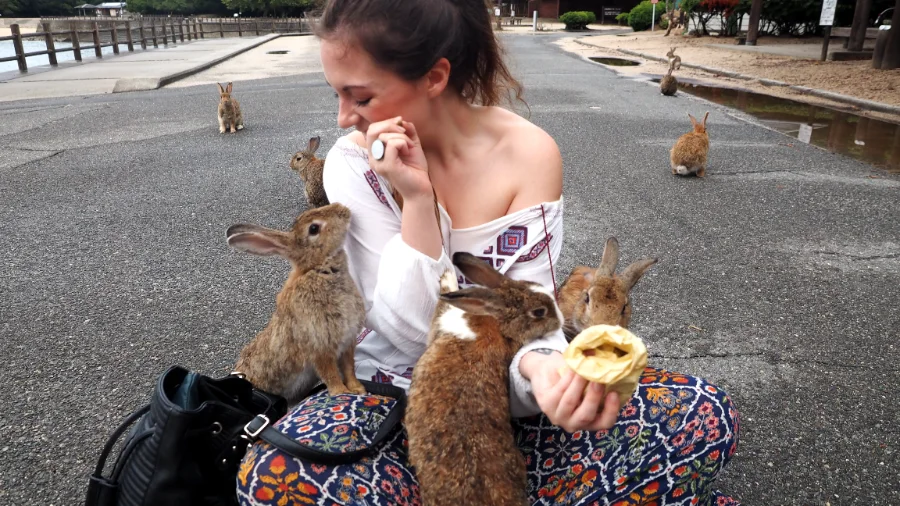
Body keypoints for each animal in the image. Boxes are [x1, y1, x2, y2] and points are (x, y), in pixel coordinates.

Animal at [226, 203, 366, 404]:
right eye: (314, 228)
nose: (343, 209)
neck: (318, 269)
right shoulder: (319, 347)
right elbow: (331, 374)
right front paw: (341, 394)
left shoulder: (348, 341)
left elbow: (349, 368)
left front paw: (358, 389)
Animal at [406, 252, 563, 506]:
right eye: (540, 312)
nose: (560, 321)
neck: (498, 322)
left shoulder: (440, 321)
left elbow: (442, 303)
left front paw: (446, 278)